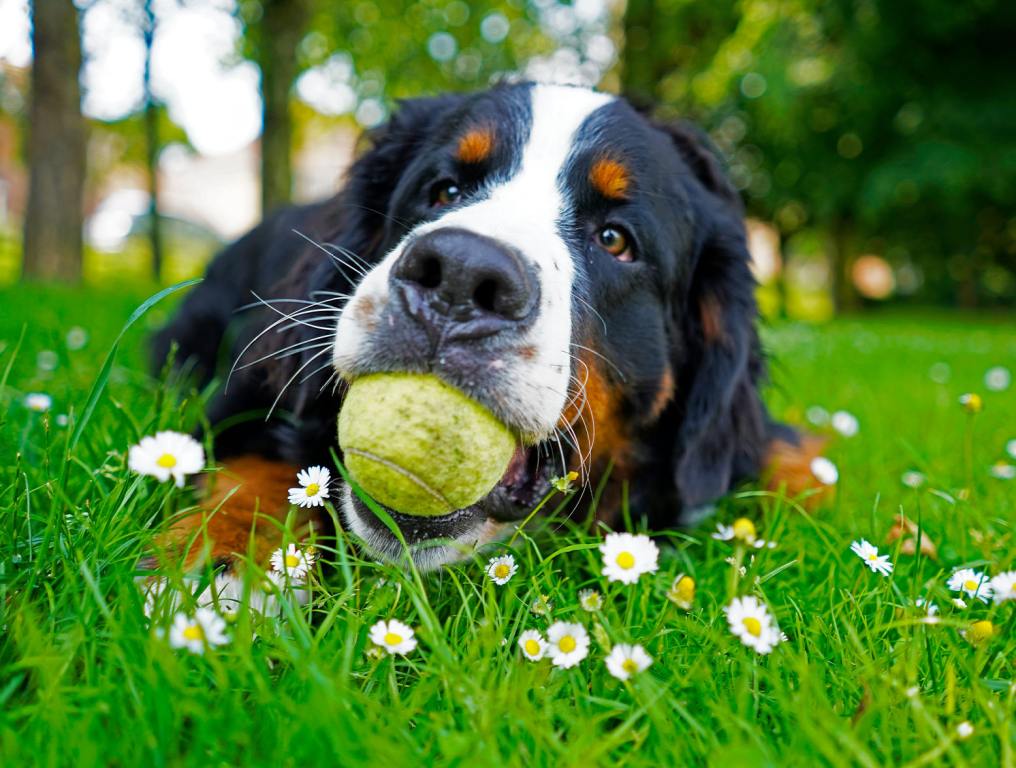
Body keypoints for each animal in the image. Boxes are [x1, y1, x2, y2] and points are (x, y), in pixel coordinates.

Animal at [152, 80, 833, 581]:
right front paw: (218, 568)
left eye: (616, 240)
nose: (459, 275)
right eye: (444, 189)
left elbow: (793, 455)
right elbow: (260, 467)